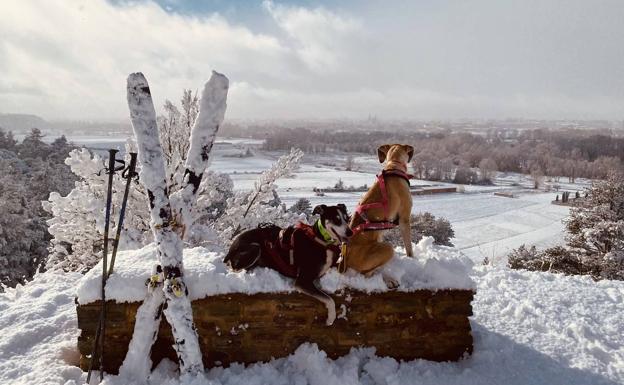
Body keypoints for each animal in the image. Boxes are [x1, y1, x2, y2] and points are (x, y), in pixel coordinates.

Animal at [223, 204, 352, 324]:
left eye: (347, 219)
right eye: (336, 219)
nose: (350, 232)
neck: (321, 240)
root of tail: (232, 247)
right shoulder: (302, 281)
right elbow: (329, 299)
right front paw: (331, 317)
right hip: (255, 248)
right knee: (235, 269)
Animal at [342, 144, 414, 282]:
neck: (393, 164)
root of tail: (344, 259)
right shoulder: (404, 219)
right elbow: (409, 248)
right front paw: (413, 260)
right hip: (387, 248)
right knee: (367, 274)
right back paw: (389, 280)